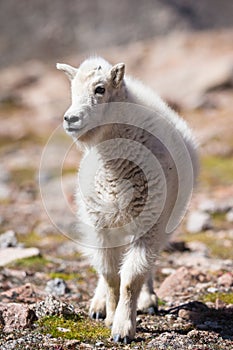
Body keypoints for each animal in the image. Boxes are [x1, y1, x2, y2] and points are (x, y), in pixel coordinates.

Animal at [57, 56, 198, 344]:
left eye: (100, 89)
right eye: (72, 90)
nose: (70, 119)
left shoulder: (151, 224)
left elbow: (131, 279)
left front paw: (123, 328)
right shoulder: (99, 226)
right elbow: (110, 275)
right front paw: (110, 316)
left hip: (161, 221)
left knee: (147, 267)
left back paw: (148, 300)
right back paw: (99, 304)